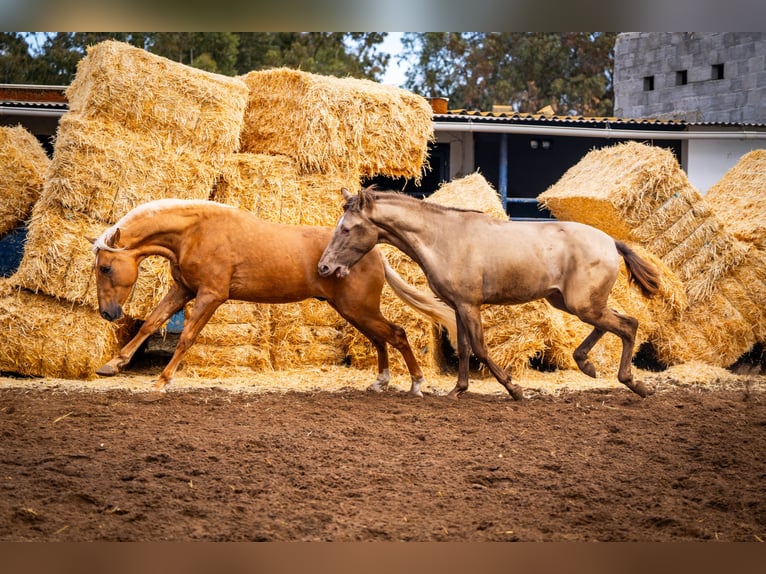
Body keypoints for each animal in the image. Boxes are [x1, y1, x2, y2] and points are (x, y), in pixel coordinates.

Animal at [93, 199, 460, 396]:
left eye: (106, 267)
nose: (108, 313)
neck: (197, 232)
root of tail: (375, 253)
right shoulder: (183, 289)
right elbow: (151, 323)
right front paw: (111, 365)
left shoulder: (211, 295)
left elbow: (186, 337)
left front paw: (161, 382)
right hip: (354, 311)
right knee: (381, 340)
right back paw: (380, 382)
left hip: (359, 309)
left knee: (396, 334)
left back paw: (416, 384)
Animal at [320, 188, 664, 400]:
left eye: (346, 228)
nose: (325, 266)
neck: (444, 238)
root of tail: (610, 242)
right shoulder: (457, 306)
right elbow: (463, 349)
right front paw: (457, 390)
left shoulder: (470, 305)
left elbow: (481, 349)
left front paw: (515, 389)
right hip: (569, 301)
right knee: (615, 323)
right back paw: (587, 364)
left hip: (582, 304)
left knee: (628, 325)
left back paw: (633, 383)